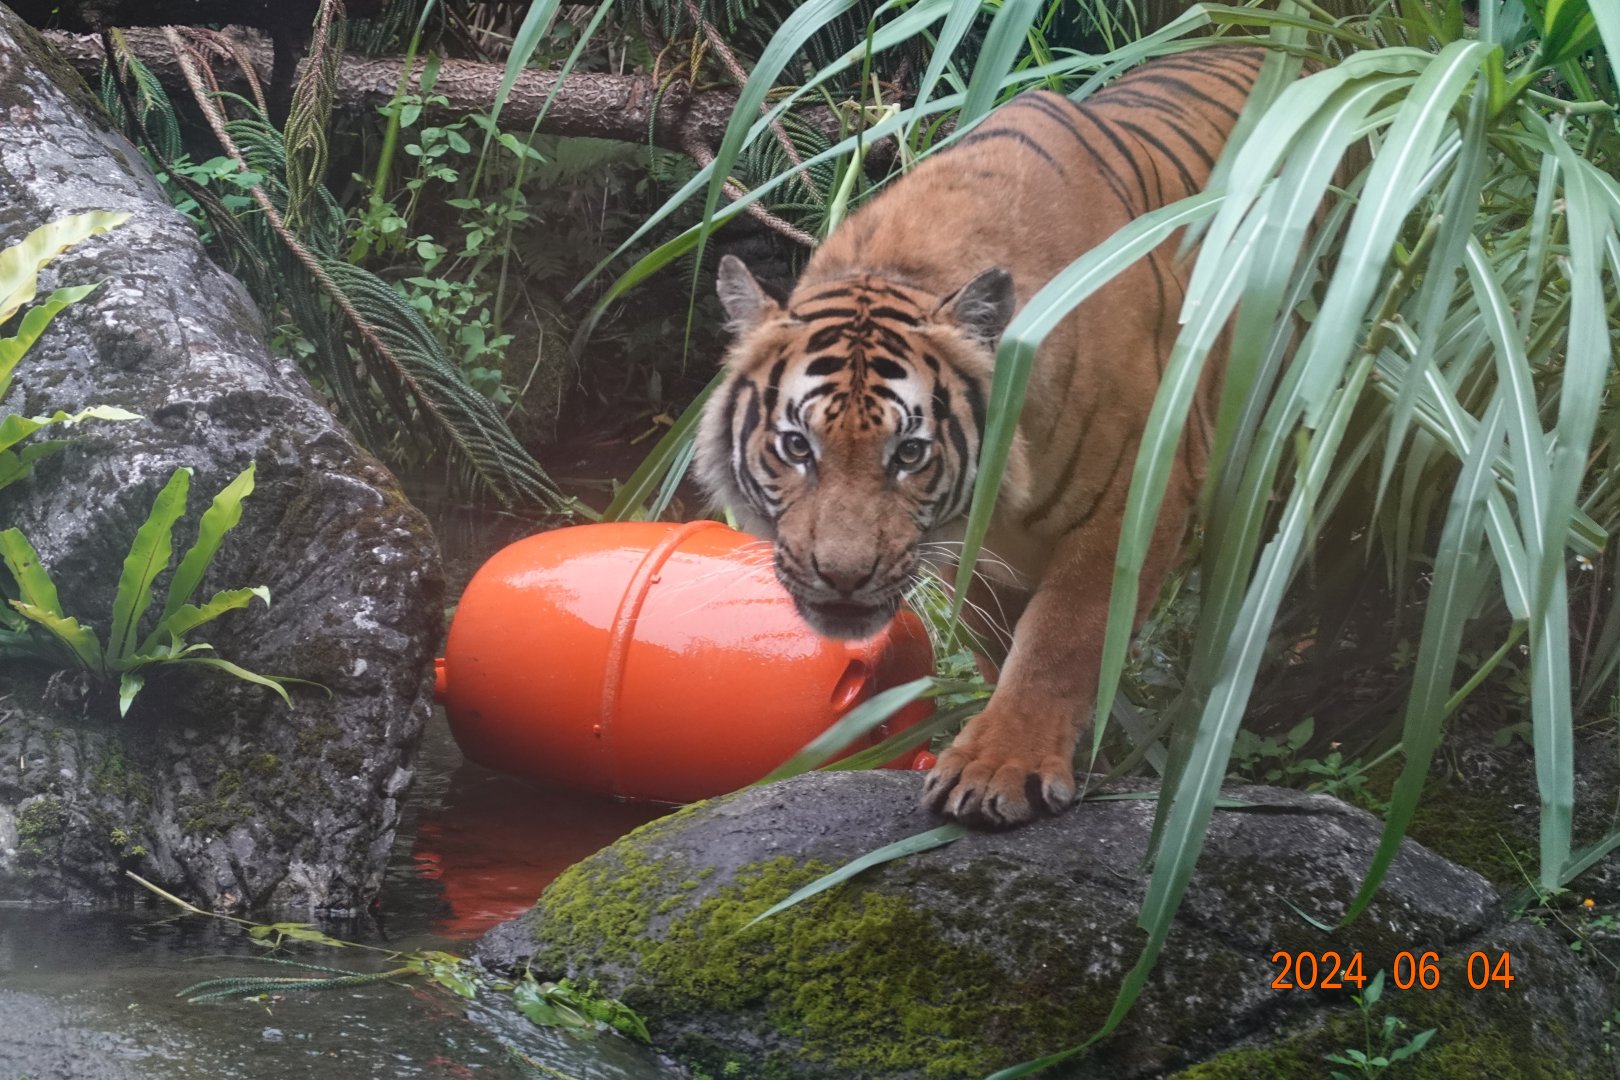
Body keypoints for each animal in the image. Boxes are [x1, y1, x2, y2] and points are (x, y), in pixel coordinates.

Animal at [695, 47, 1269, 827]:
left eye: (909, 453)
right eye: (797, 448)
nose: (841, 578)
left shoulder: (1137, 498)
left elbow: (1062, 637)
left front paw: (1002, 768)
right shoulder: (967, 555)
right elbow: (1000, 644)